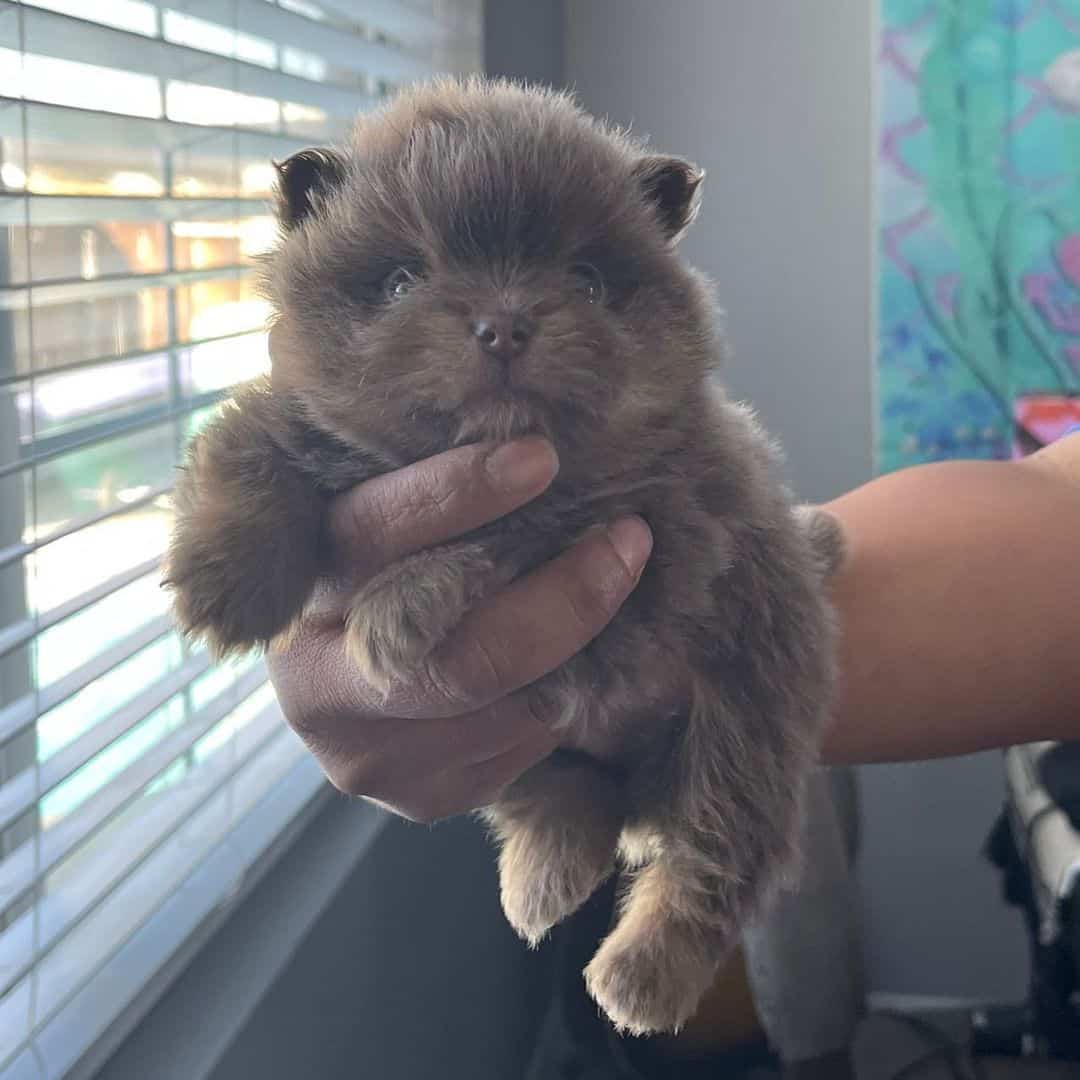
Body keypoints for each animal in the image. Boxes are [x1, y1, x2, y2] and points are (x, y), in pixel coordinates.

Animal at [166, 78, 842, 1036]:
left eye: (586, 278)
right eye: (403, 279)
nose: (504, 324)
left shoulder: (650, 517)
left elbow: (507, 530)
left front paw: (395, 605)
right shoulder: (316, 416)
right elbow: (255, 428)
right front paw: (218, 577)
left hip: (746, 721)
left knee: (714, 858)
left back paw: (640, 974)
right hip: (522, 747)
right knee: (568, 796)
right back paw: (542, 878)